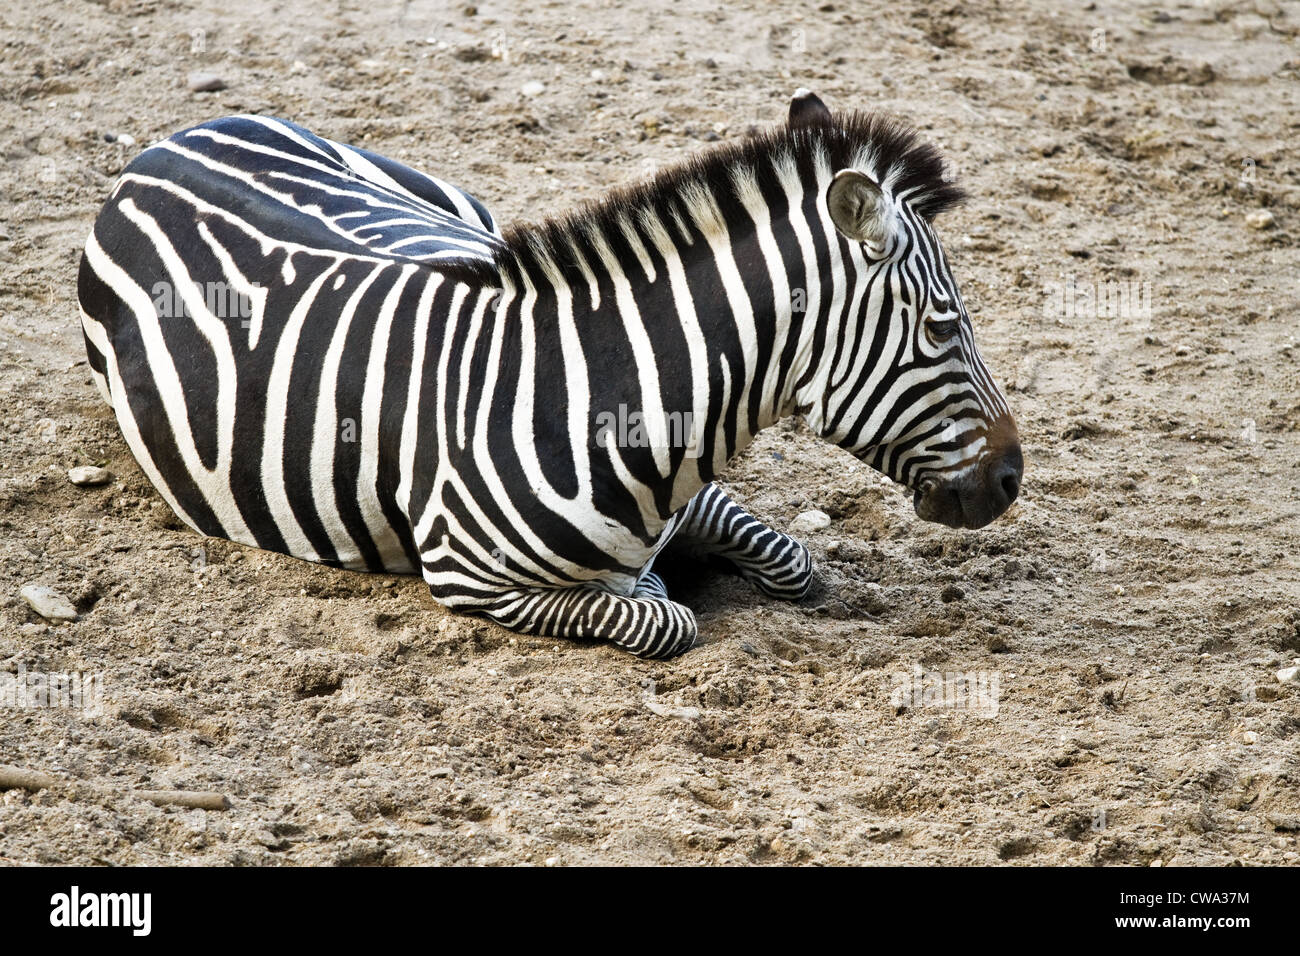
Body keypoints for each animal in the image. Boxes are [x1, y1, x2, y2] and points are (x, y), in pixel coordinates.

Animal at [76, 89, 1024, 658]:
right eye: (944, 325)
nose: (1014, 478)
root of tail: (165, 143)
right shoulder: (470, 577)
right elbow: (662, 619)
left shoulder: (697, 498)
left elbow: (793, 561)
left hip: (455, 210)